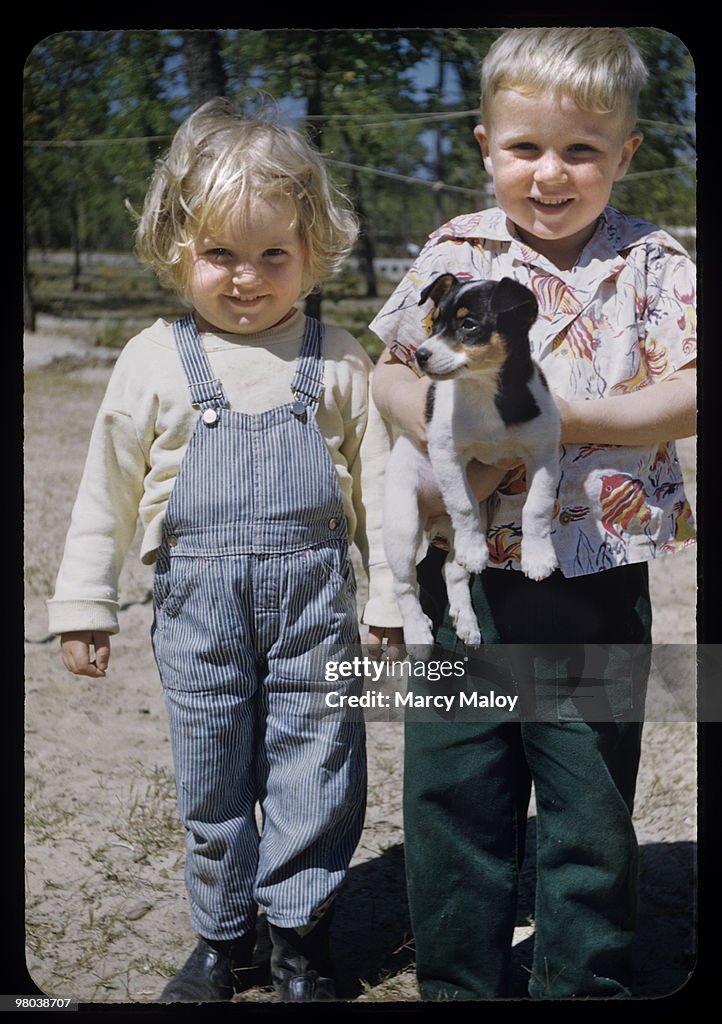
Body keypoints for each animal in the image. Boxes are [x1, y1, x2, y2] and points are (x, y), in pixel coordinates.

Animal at [380, 272, 561, 647]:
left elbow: (536, 506)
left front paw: (538, 557)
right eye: (433, 324)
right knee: (403, 584)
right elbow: (462, 504)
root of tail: (434, 522)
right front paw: (478, 548)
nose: (420, 354)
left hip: (481, 515)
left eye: (468, 325)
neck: (484, 390)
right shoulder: (447, 454)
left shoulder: (544, 453)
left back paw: (466, 621)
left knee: (452, 570)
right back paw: (418, 633)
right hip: (403, 525)